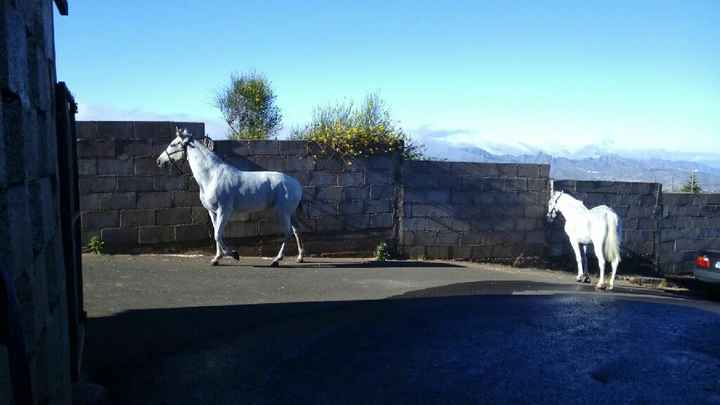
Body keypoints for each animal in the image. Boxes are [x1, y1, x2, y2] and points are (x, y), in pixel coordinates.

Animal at [158, 126, 304, 266]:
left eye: (173, 144)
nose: (159, 161)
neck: (211, 176)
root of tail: (296, 183)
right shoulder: (213, 212)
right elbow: (217, 233)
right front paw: (216, 259)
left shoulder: (224, 210)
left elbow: (217, 235)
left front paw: (233, 254)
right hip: (290, 213)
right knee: (296, 230)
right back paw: (300, 258)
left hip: (283, 212)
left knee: (288, 232)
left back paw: (276, 260)